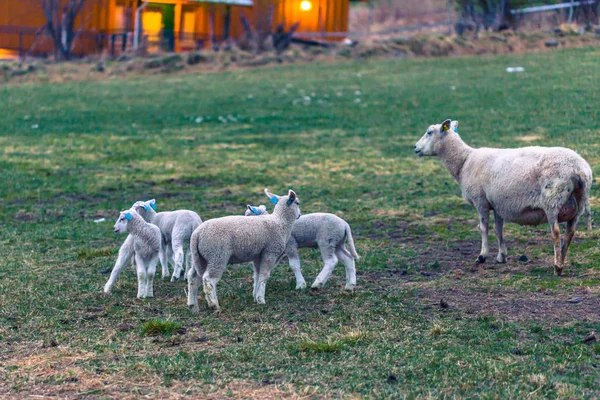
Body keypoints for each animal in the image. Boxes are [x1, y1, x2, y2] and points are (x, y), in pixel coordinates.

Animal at [414, 119, 592, 276]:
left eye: (429, 132)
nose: (415, 147)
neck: (464, 162)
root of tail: (579, 170)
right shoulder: (497, 204)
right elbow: (499, 230)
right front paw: (502, 256)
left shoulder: (480, 201)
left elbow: (483, 228)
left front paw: (482, 256)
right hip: (578, 205)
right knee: (570, 233)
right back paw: (562, 260)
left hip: (552, 201)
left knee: (555, 233)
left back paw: (557, 267)